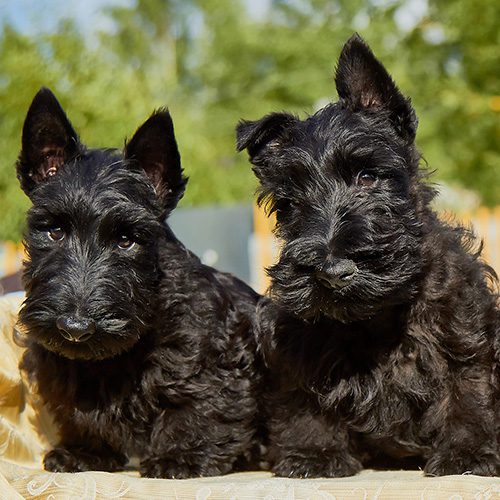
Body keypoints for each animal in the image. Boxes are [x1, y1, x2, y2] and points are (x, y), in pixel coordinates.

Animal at [15, 88, 262, 478]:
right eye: (54, 230)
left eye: (126, 239)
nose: (75, 328)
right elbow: (79, 410)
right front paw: (83, 452)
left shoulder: (211, 361)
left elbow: (197, 404)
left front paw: (179, 457)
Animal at [236, 34, 498, 476]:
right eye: (289, 202)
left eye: (367, 176)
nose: (331, 271)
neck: (378, 315)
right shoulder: (296, 346)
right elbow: (304, 403)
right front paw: (313, 454)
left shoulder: (464, 337)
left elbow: (468, 394)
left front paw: (468, 453)